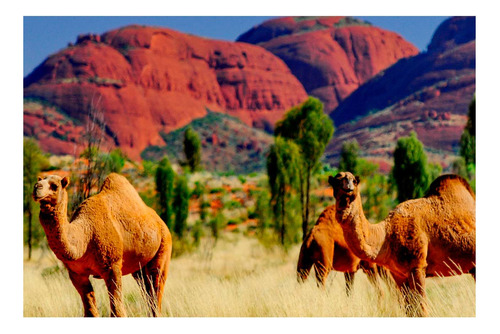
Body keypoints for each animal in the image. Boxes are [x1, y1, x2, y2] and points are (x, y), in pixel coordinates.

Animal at [33, 174, 172, 318]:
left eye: (55, 186)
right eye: (40, 180)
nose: (37, 187)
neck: (85, 235)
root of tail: (160, 222)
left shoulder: (112, 266)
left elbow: (117, 310)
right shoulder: (77, 273)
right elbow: (90, 311)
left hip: (164, 246)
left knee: (156, 288)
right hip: (138, 269)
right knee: (147, 291)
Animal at [330, 172, 474, 316]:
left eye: (354, 181)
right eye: (336, 181)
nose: (348, 187)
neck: (386, 235)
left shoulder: (417, 267)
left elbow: (421, 310)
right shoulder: (399, 274)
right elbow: (409, 310)